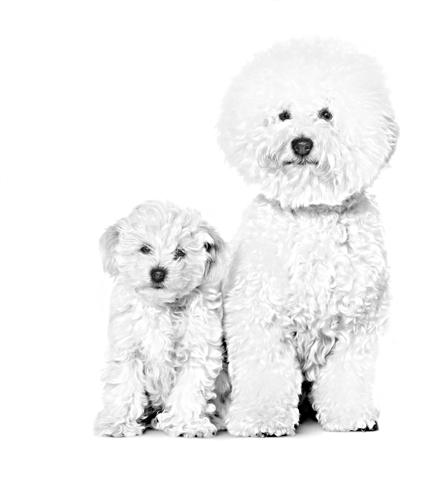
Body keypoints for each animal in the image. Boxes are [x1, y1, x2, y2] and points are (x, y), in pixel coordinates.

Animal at [95, 201, 227, 437]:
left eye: (180, 253)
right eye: (145, 249)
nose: (158, 273)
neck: (162, 306)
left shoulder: (198, 351)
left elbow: (189, 389)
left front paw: (186, 424)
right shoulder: (128, 348)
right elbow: (124, 386)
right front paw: (118, 423)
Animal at [218, 39, 398, 436]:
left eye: (326, 114)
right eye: (283, 115)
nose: (301, 144)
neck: (312, 209)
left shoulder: (356, 321)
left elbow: (348, 374)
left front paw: (350, 415)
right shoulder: (260, 314)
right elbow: (265, 373)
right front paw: (262, 418)